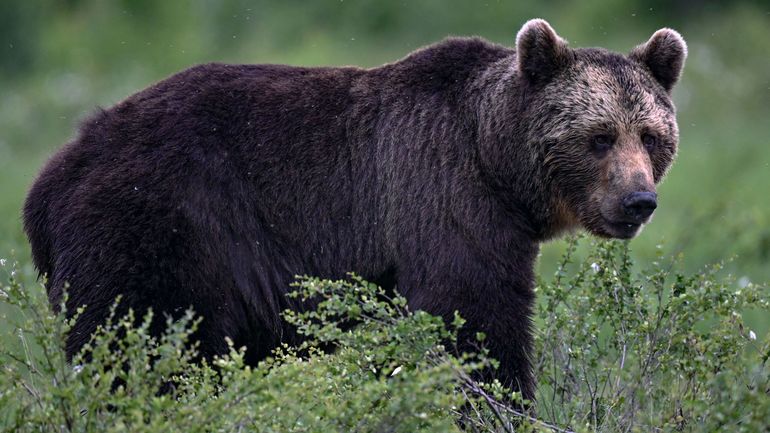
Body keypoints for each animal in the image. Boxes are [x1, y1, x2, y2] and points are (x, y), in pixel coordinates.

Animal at [24, 20, 684, 398]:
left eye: (651, 136)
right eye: (599, 136)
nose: (638, 200)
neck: (494, 158)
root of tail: (50, 178)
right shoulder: (441, 196)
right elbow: (472, 316)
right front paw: (498, 396)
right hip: (161, 222)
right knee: (143, 343)